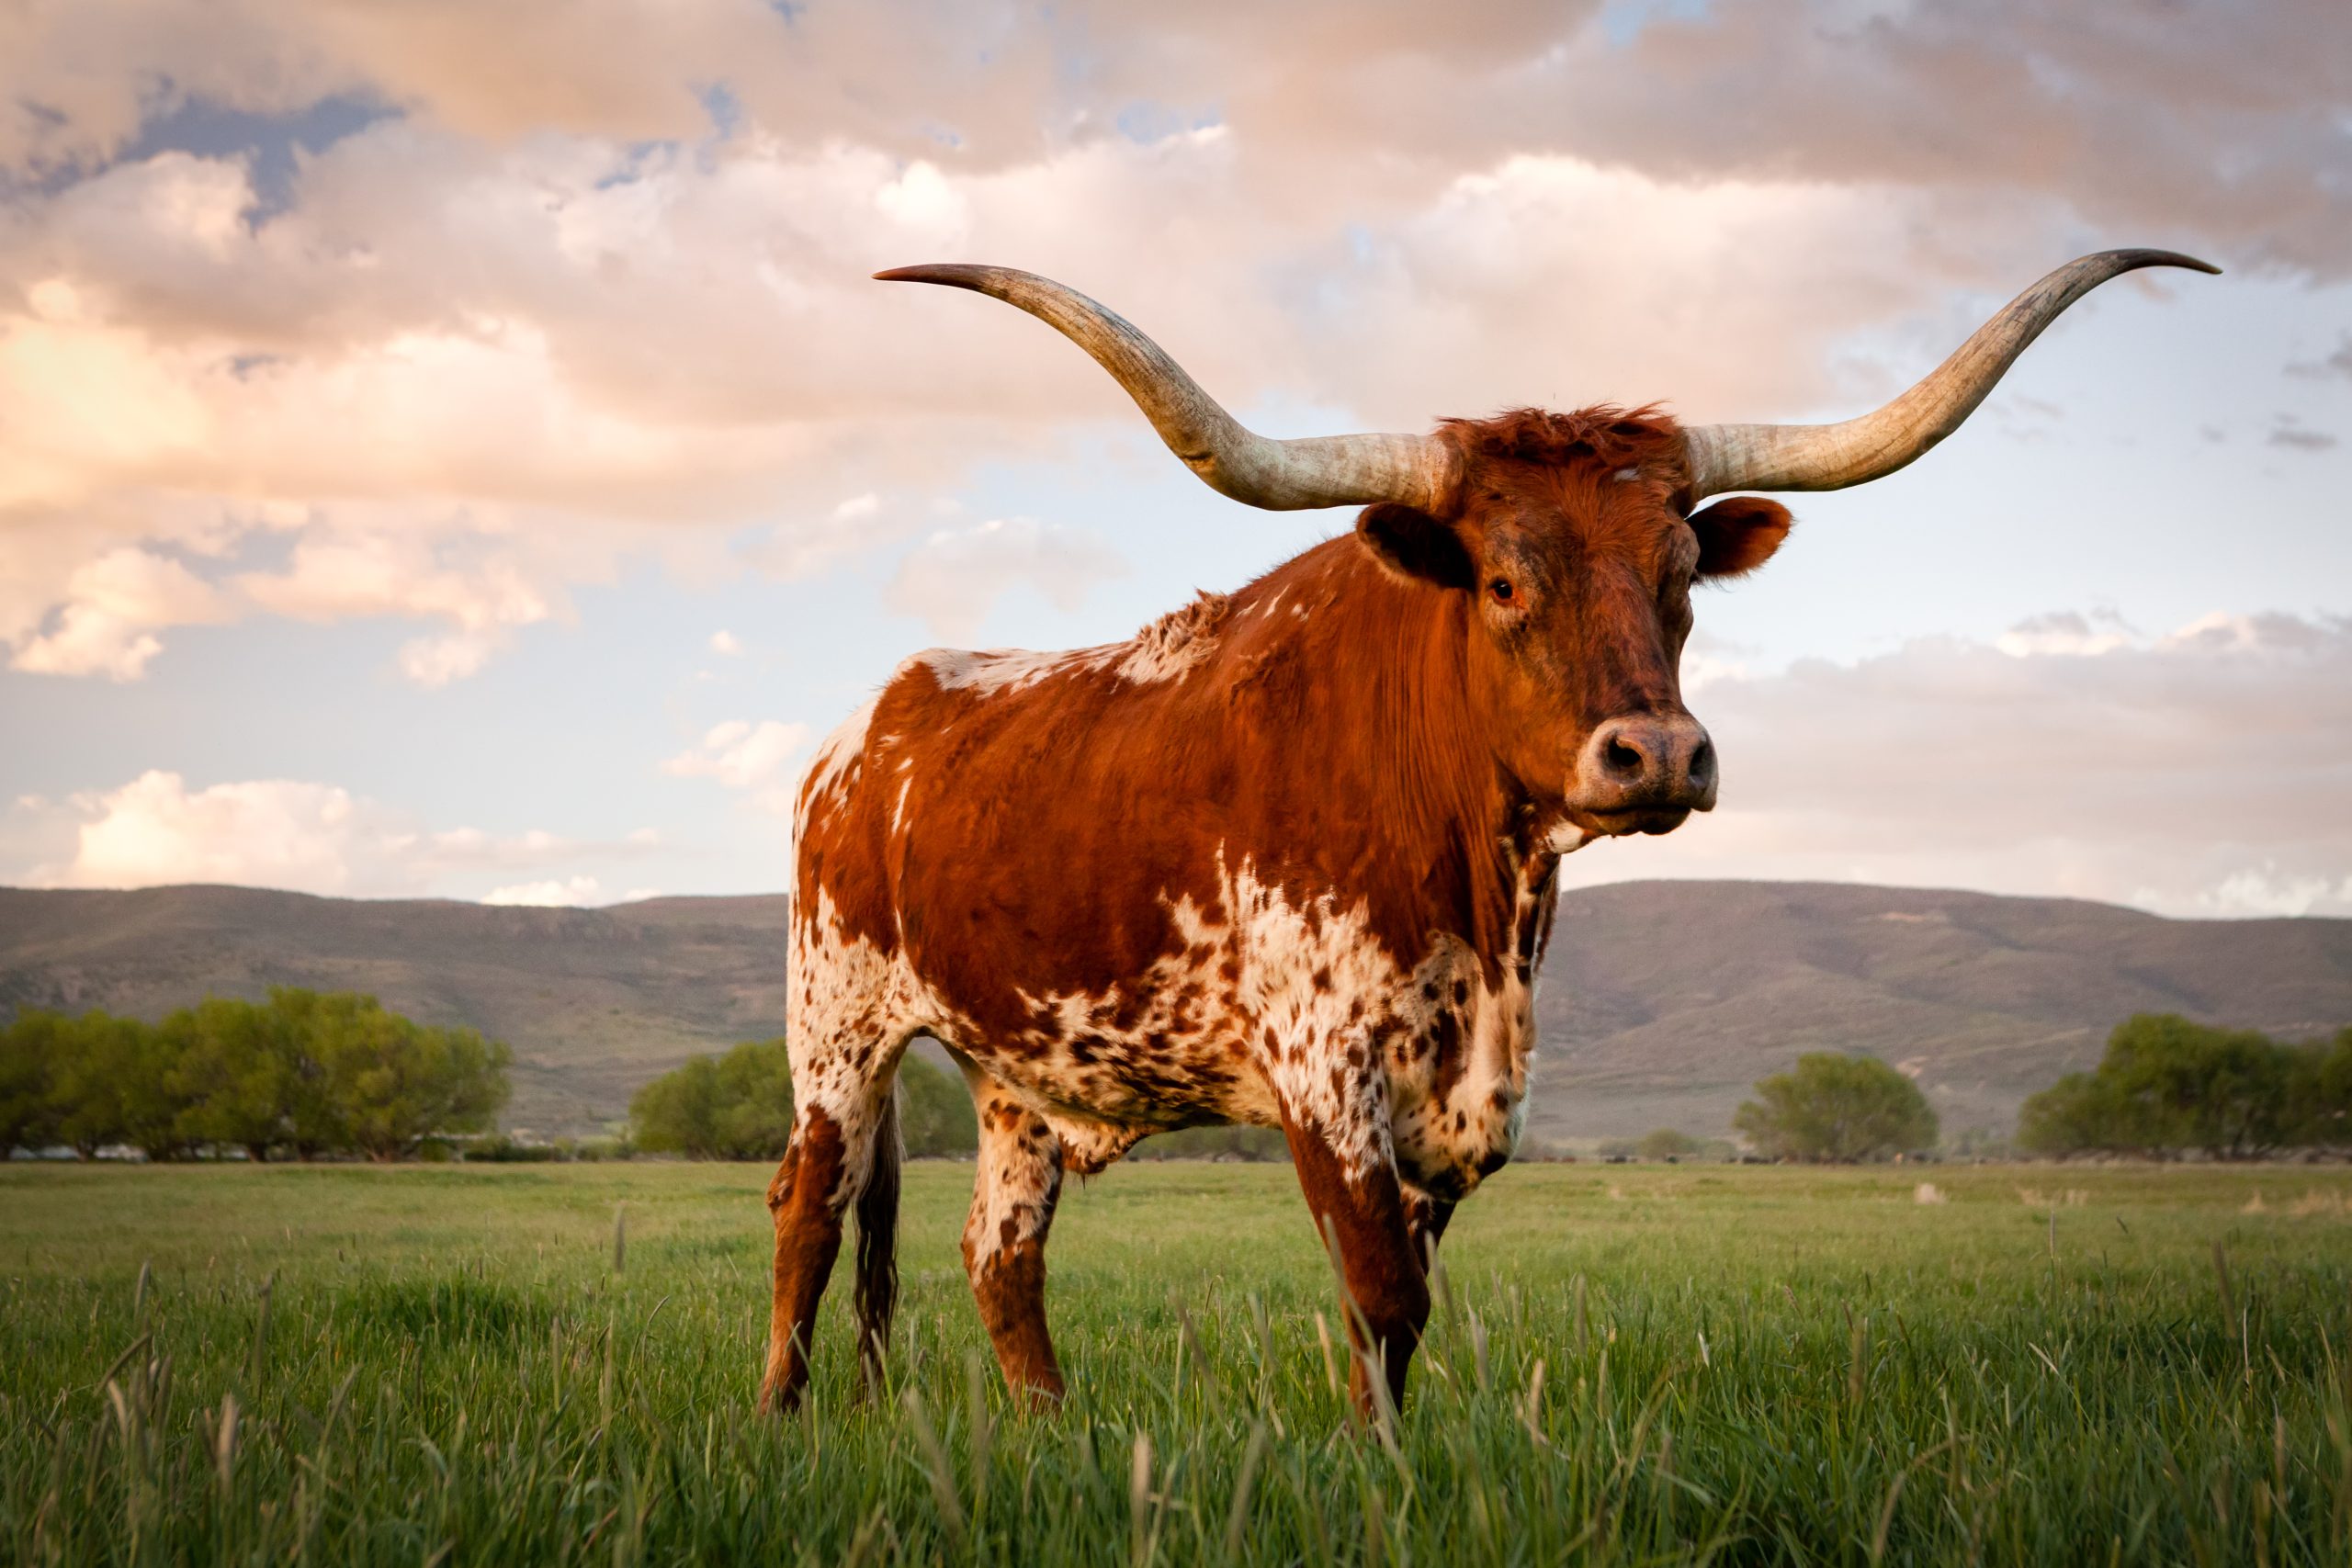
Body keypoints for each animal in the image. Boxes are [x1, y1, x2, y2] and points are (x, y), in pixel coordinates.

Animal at [762, 249, 2216, 1418]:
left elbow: (1400, 1315)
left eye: (1683, 578)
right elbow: (1379, 1294)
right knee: (807, 1217)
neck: (1480, 896)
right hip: (838, 1029)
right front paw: (1379, 1475)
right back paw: (781, 1424)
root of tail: (864, 729)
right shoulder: (1323, 1069)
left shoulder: (1466, 1101)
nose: (1659, 753)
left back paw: (1054, 1429)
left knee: (999, 1256)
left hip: (1018, 1072)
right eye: (1507, 582)